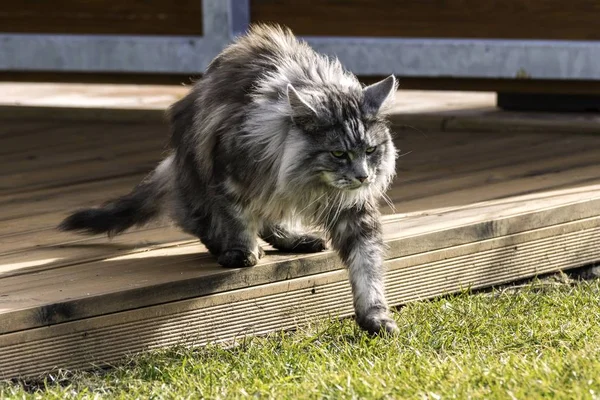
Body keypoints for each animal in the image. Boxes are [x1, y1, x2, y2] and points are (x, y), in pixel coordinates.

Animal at [59, 22, 398, 334]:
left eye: (370, 150)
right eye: (339, 154)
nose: (363, 176)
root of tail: (173, 161)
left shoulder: (354, 210)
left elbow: (367, 265)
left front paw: (375, 316)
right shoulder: (228, 177)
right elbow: (237, 219)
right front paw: (243, 252)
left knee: (270, 218)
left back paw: (294, 238)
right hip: (197, 180)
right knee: (205, 222)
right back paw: (230, 247)